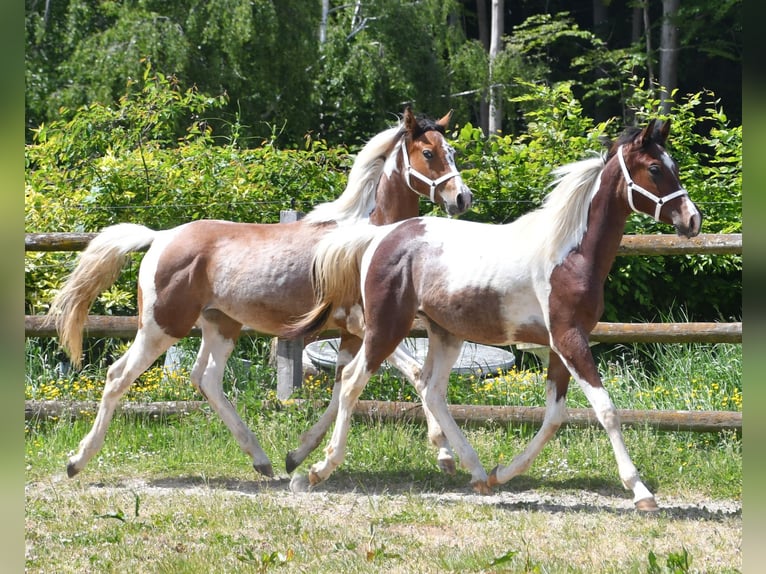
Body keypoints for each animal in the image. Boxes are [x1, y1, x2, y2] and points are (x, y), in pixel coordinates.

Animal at [48, 107, 473, 479]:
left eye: (451, 151)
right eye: (429, 153)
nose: (462, 198)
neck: (366, 238)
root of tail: (160, 238)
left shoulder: (352, 334)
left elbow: (343, 387)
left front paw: (298, 455)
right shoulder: (367, 326)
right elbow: (412, 374)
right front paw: (444, 453)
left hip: (221, 325)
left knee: (206, 379)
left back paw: (262, 460)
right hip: (161, 327)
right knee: (118, 376)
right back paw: (76, 462)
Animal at [286, 119, 701, 511]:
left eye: (674, 166)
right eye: (654, 168)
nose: (692, 220)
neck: (568, 253)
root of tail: (379, 237)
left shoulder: (560, 346)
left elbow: (554, 416)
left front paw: (503, 473)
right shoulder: (570, 340)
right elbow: (607, 410)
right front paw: (641, 491)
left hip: (445, 333)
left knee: (431, 390)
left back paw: (475, 471)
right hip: (386, 328)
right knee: (353, 380)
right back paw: (315, 469)